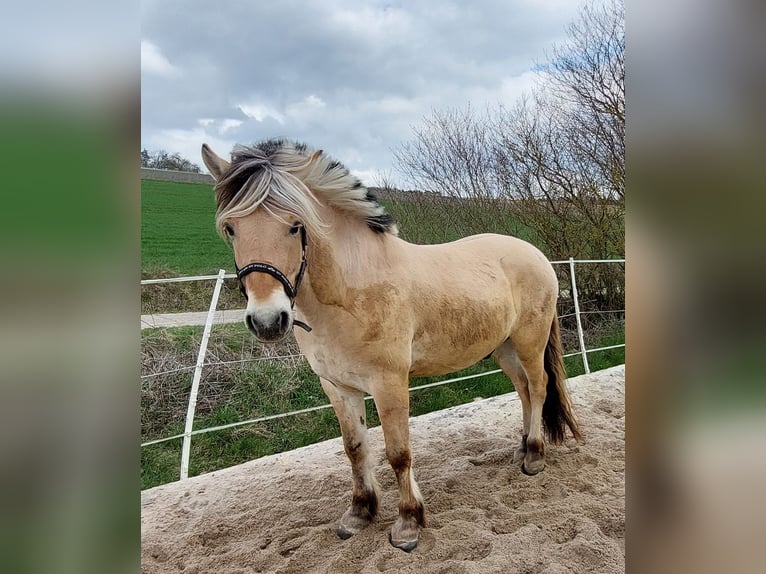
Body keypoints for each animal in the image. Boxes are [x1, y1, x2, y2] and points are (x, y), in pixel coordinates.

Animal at [200, 138, 581, 552]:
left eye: (295, 225)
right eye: (232, 228)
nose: (268, 321)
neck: (353, 290)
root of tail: (536, 254)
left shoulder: (389, 383)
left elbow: (398, 453)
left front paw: (408, 524)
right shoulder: (338, 387)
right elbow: (355, 449)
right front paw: (359, 513)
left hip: (529, 341)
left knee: (540, 387)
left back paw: (535, 456)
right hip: (504, 347)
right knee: (524, 391)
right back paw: (522, 448)